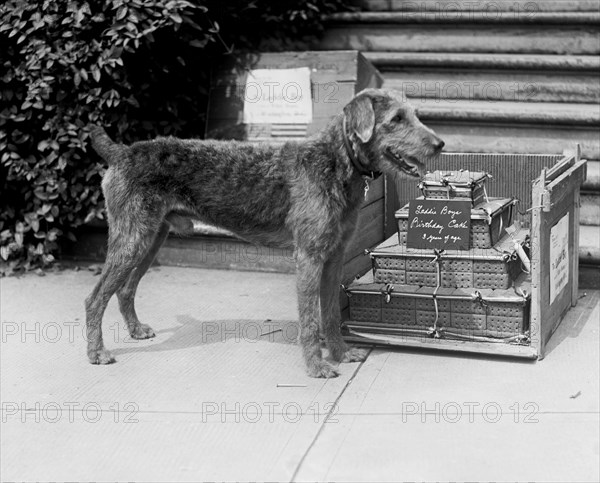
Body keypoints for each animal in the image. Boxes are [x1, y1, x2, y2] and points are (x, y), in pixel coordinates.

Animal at [86, 90, 442, 378]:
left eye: (414, 114)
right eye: (396, 118)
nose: (440, 144)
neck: (335, 163)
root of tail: (120, 153)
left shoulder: (334, 256)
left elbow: (329, 313)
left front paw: (340, 353)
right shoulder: (309, 256)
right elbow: (311, 320)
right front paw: (316, 367)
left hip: (150, 238)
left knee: (124, 290)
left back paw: (135, 331)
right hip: (132, 239)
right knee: (95, 297)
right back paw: (97, 353)